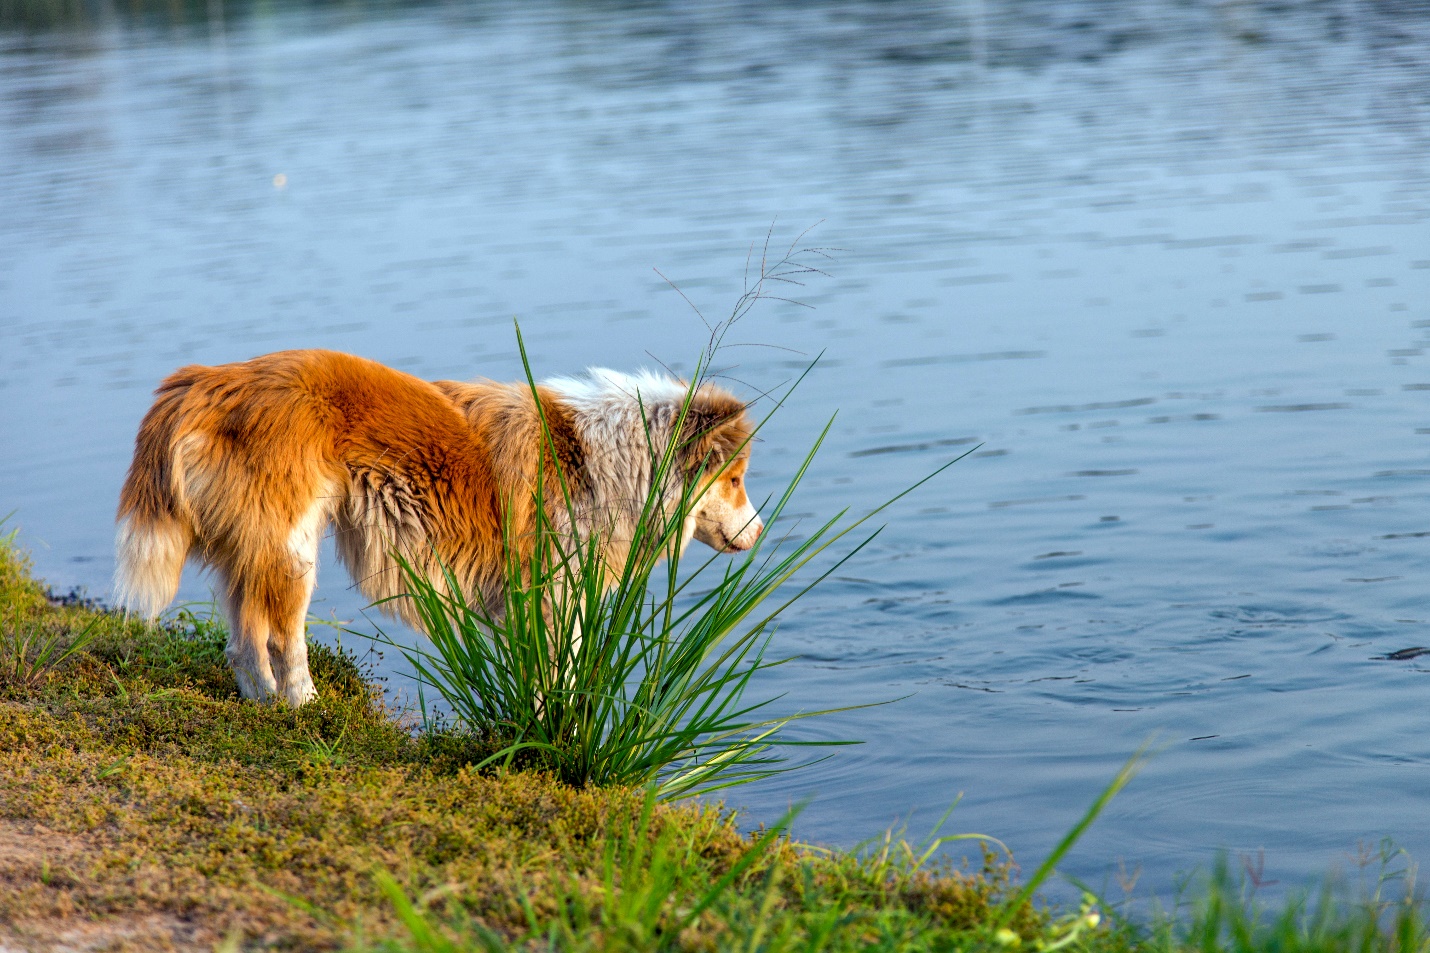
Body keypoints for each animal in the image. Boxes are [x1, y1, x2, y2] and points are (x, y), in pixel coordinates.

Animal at [117, 350, 766, 704]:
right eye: (735, 479)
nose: (761, 534)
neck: (607, 460)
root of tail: (208, 378)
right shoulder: (552, 599)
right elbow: (556, 679)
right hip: (291, 549)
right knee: (280, 639)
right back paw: (306, 708)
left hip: (248, 551)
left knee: (241, 642)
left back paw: (266, 706)